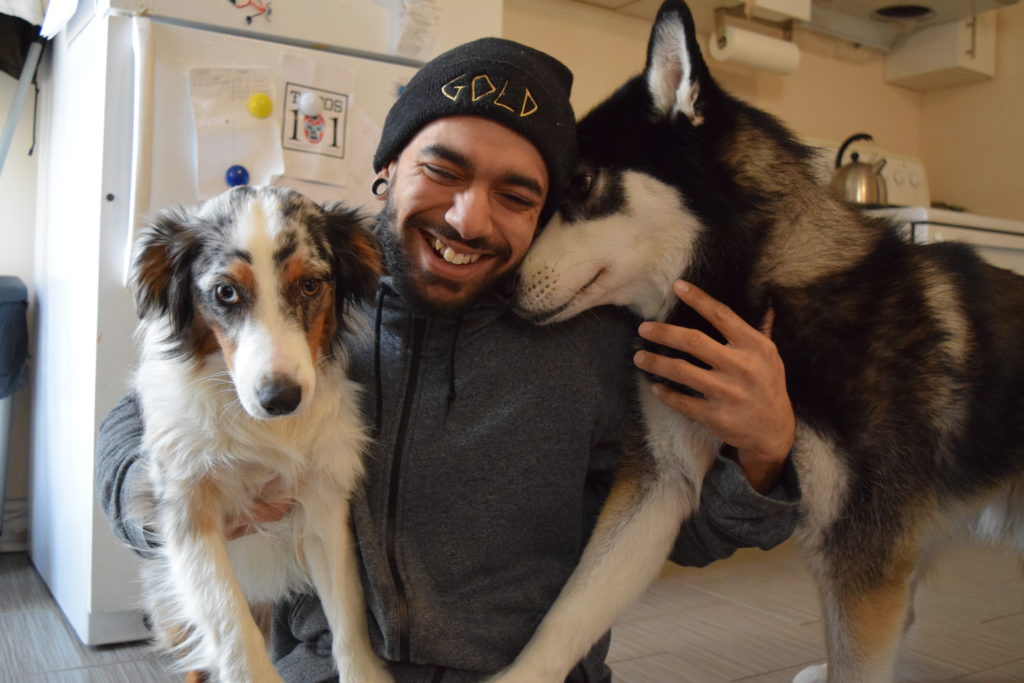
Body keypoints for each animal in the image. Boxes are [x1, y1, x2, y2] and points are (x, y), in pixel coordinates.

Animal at [129, 185, 391, 683]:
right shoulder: (186, 503)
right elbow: (228, 619)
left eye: (310, 285)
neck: (267, 430)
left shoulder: (324, 502)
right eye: (226, 292)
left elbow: (348, 617)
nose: (281, 398)